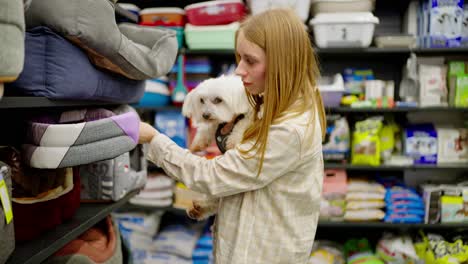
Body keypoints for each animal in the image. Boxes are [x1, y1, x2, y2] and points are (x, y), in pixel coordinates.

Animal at [181, 75, 252, 221]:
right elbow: (211, 127)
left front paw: (233, 140)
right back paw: (200, 207)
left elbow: (243, 123)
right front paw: (200, 141)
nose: (205, 115)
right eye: (202, 100)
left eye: (218, 100)